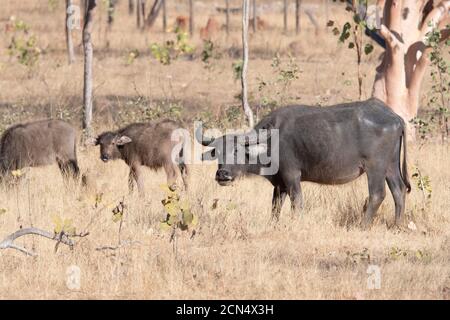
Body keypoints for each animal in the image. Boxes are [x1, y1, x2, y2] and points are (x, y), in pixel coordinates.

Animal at [197, 99, 412, 226]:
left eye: (236, 150)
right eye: (217, 153)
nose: (223, 174)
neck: (271, 142)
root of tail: (395, 117)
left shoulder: (292, 175)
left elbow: (297, 202)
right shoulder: (279, 184)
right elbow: (275, 206)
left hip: (375, 167)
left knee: (377, 194)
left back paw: (363, 224)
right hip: (391, 166)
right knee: (399, 190)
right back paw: (398, 224)